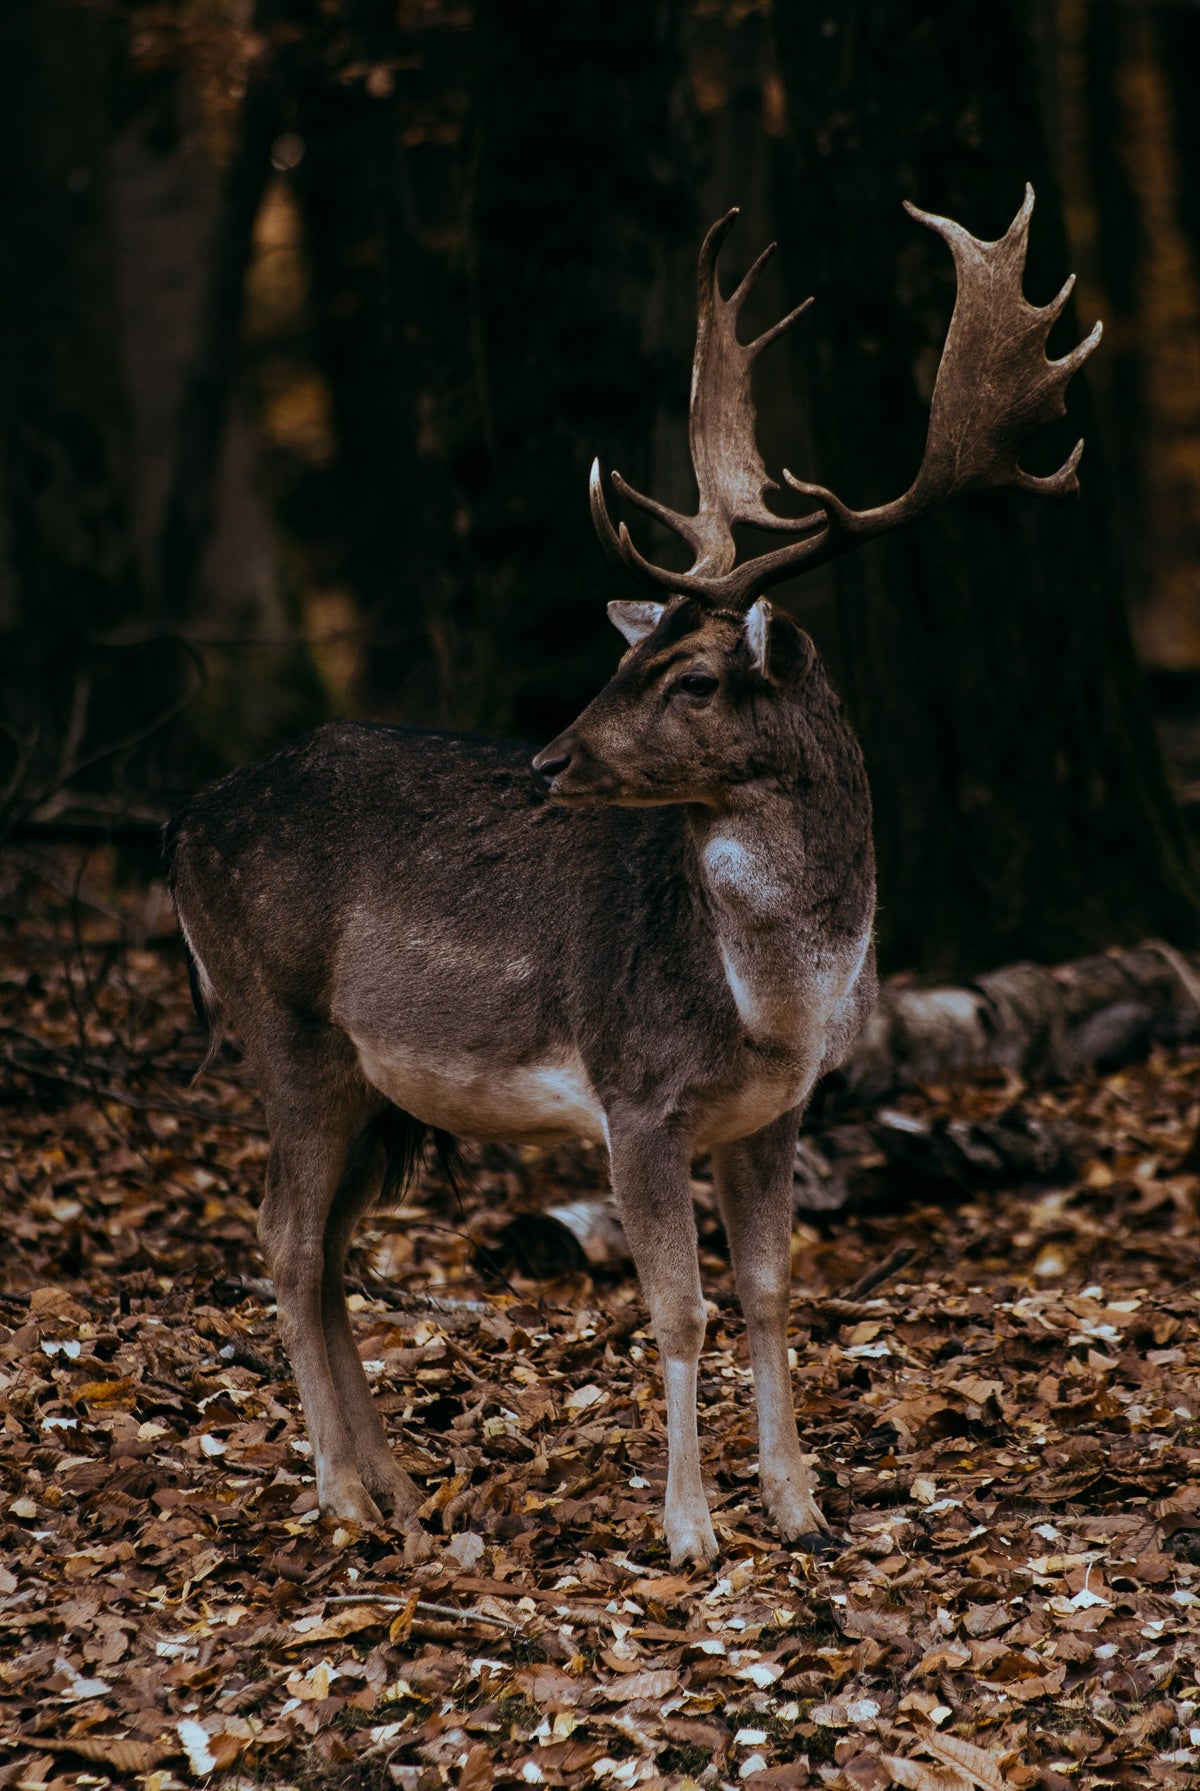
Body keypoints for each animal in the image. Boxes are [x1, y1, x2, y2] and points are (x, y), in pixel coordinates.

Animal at [165, 187, 1099, 1566]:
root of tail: (180, 823)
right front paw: (690, 1532)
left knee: (328, 1246)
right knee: (281, 1238)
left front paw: (802, 1508)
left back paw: (396, 1491)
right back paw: (339, 1498)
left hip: (381, 1088)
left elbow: (769, 1290)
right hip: (283, 1020)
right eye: (626, 665)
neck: (776, 1001)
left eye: (696, 679)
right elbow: (677, 1310)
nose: (550, 759)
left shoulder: (778, 1111)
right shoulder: (635, 1089)